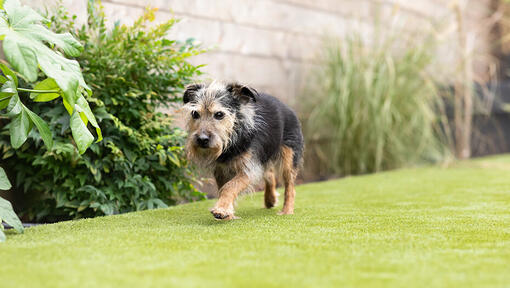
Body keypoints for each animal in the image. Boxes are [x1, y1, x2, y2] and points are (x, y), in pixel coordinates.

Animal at [182, 81, 302, 220]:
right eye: (195, 114)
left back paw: (287, 210)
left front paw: (222, 209)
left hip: (289, 158)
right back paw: (270, 199)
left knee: (290, 186)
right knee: (269, 172)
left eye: (219, 114)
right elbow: (223, 188)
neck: (232, 140)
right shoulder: (221, 170)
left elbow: (229, 187)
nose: (202, 139)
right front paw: (227, 212)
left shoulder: (249, 170)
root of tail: (286, 106)